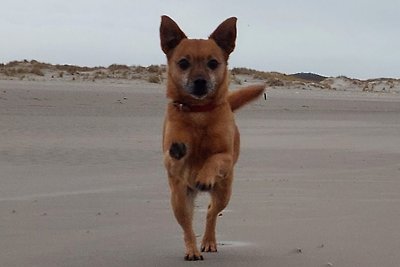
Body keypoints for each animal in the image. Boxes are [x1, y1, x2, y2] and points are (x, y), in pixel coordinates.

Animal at [159, 15, 266, 262]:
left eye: (213, 63)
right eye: (183, 63)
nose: (200, 81)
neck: (199, 113)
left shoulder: (225, 156)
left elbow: (214, 158)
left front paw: (205, 175)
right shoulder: (170, 160)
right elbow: (175, 155)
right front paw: (180, 150)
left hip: (224, 193)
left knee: (211, 212)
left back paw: (208, 241)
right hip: (178, 200)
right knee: (187, 225)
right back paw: (192, 249)